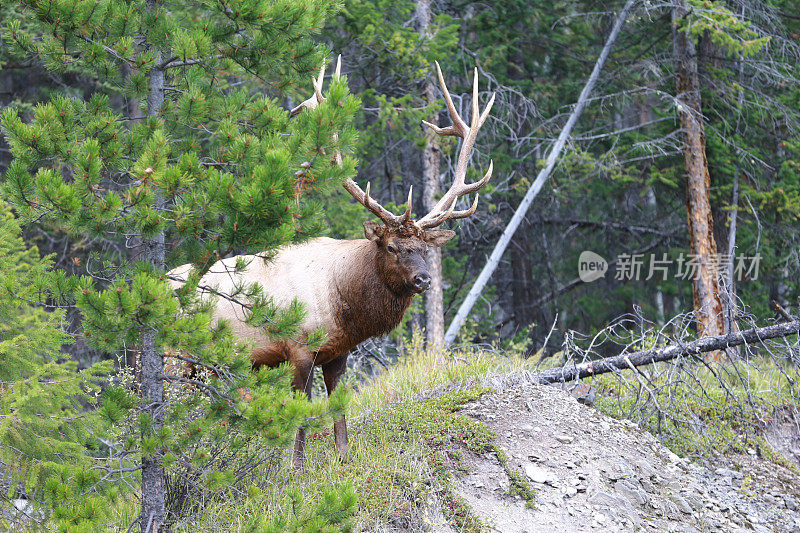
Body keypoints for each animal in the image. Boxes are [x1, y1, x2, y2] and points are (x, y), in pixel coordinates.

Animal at [169, 59, 494, 466]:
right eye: (391, 246)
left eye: (424, 248)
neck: (345, 303)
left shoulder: (338, 353)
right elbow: (302, 409)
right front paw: (296, 466)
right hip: (173, 357)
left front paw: (344, 458)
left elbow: (339, 406)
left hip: (200, 367)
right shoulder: (298, 347)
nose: (424, 280)